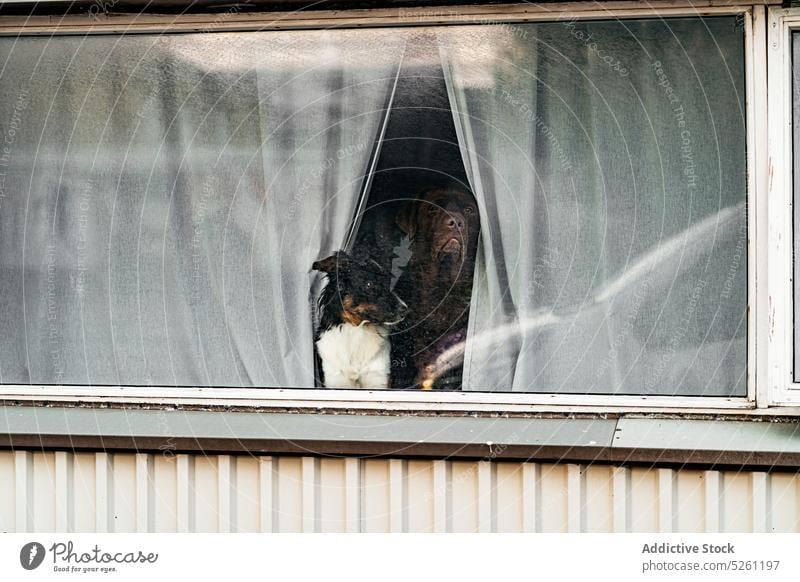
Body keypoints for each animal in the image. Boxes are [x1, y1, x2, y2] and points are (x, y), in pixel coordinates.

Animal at [312, 253, 410, 390]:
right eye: (369, 284)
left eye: (387, 283)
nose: (405, 310)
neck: (358, 330)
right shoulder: (334, 378)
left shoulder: (379, 378)